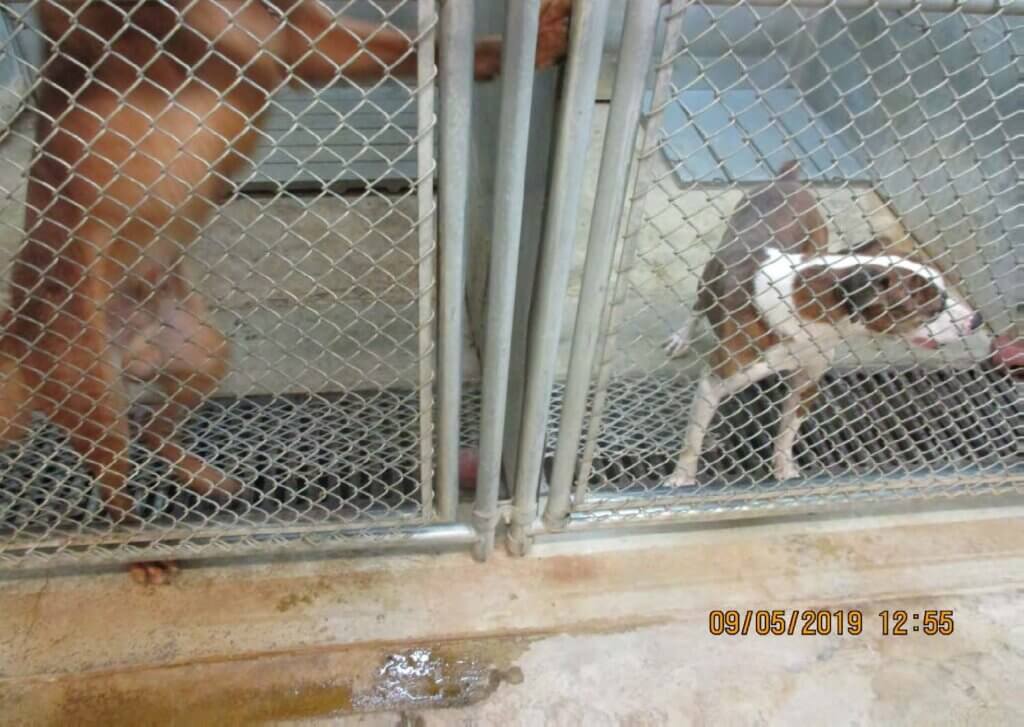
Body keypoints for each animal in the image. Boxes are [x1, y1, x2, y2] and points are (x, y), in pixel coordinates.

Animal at [0, 0, 573, 585]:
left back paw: (204, 478)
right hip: (92, 392)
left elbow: (417, 48)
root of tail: (17, 337)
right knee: (113, 480)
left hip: (201, 350)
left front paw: (533, 43)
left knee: (152, 430)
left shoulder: (304, 39)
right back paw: (142, 547)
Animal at [667, 162, 978, 487]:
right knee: (697, 308)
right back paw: (682, 338)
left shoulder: (808, 381)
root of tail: (786, 179)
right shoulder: (713, 383)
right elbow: (693, 441)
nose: (976, 320)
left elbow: (787, 434)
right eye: (932, 310)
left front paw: (784, 469)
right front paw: (682, 478)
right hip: (708, 278)